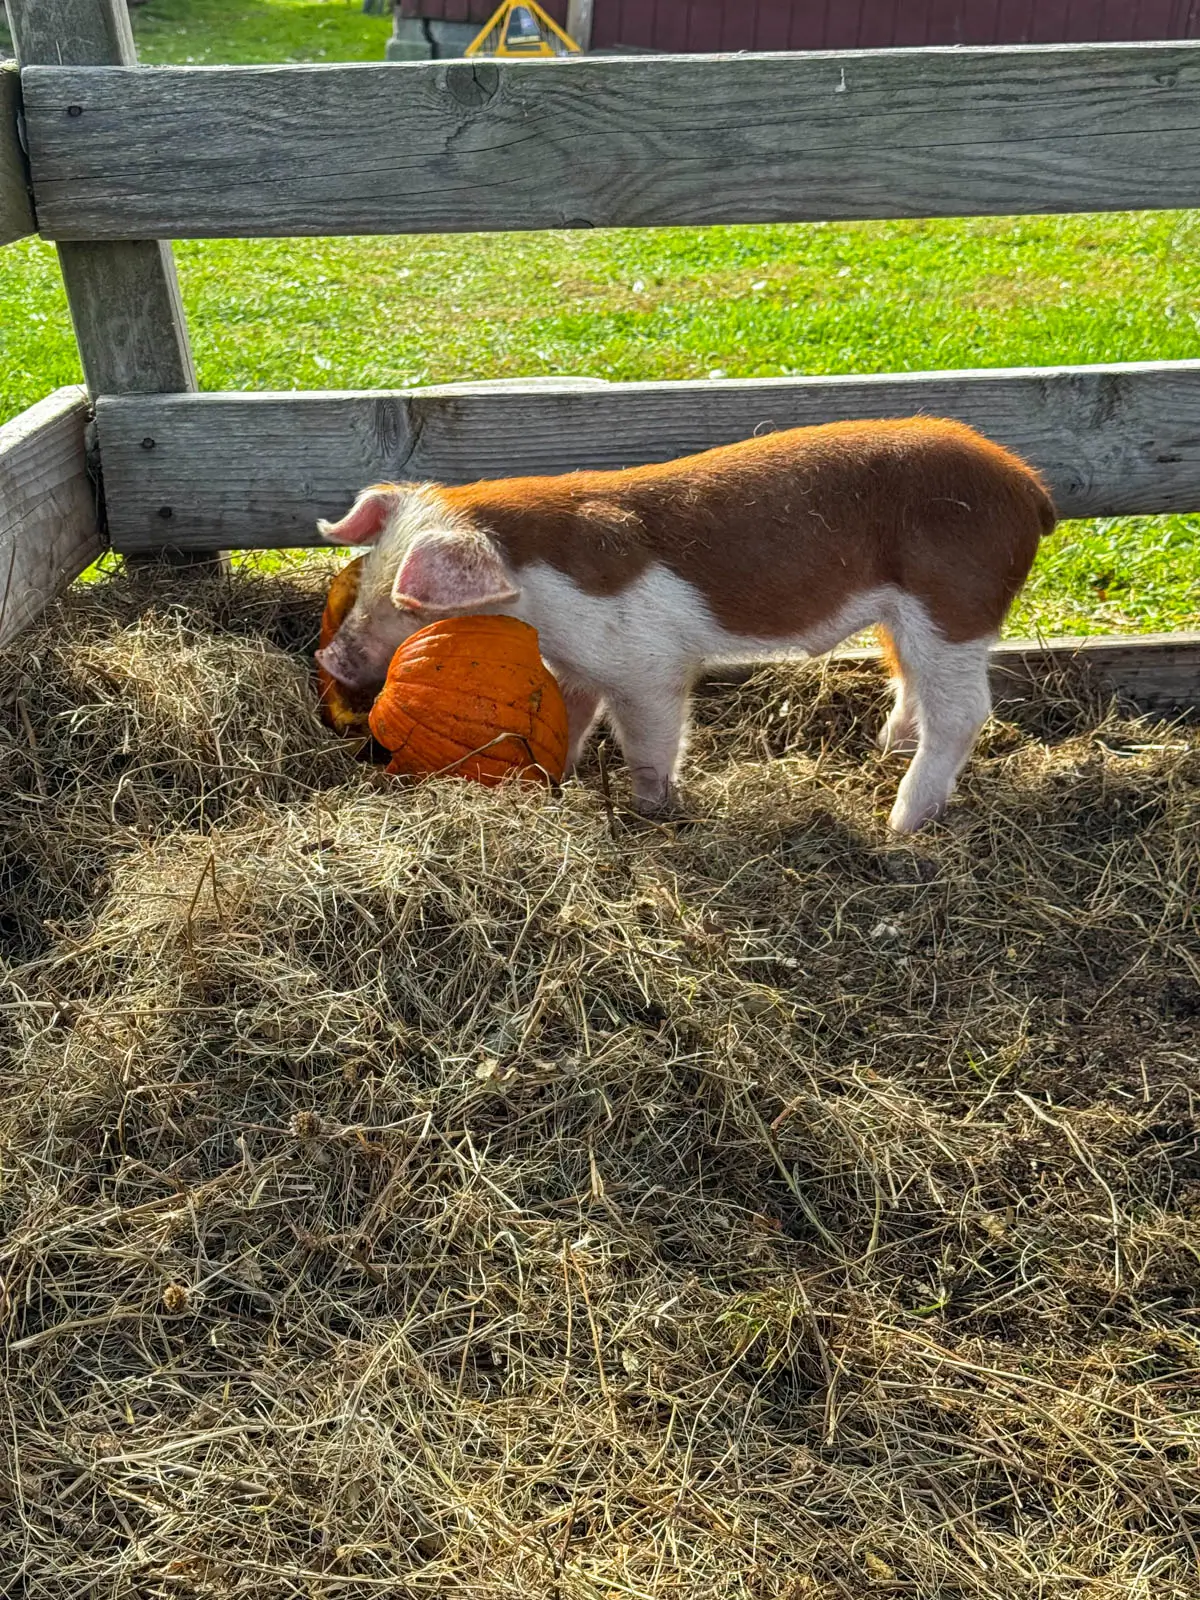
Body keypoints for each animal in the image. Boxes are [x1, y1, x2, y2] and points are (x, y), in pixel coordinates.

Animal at [314, 417, 1055, 832]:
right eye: (368, 577)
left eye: (408, 604)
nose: (332, 660)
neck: (536, 596)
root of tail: (1029, 488)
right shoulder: (579, 666)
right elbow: (570, 717)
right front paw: (565, 777)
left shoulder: (646, 668)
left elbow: (649, 740)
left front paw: (653, 810)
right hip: (906, 618)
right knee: (915, 686)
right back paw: (885, 749)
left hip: (954, 604)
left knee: (965, 710)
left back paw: (901, 823)